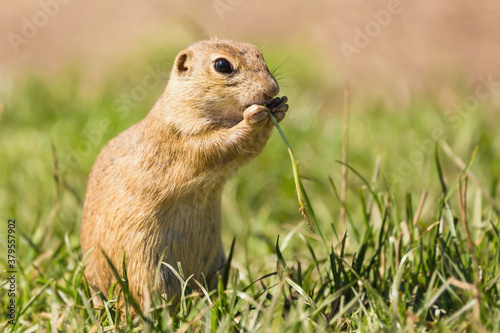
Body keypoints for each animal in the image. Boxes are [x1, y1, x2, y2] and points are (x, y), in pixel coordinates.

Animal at [80, 38, 288, 304]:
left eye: (259, 54)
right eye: (222, 65)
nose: (271, 89)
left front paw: (280, 107)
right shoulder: (182, 136)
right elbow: (220, 145)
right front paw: (254, 117)